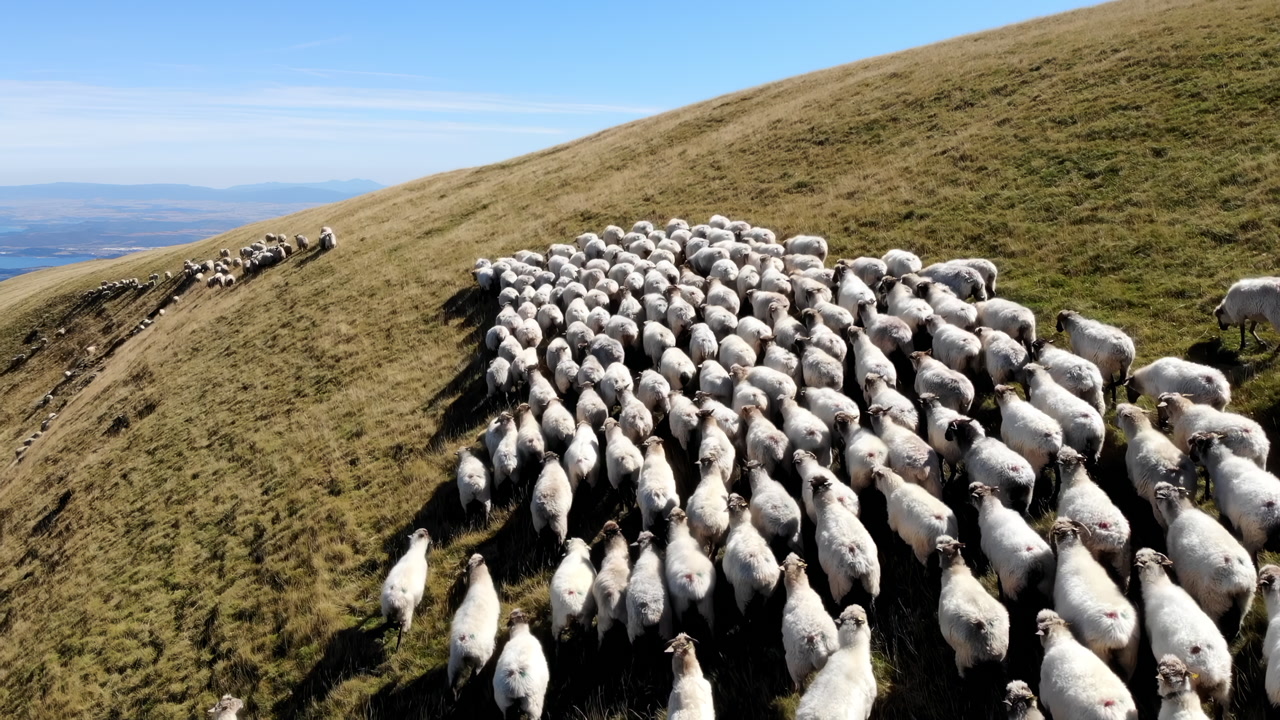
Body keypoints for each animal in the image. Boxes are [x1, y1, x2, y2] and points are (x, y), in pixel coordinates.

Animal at [448, 554, 501, 691]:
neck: (479, 581)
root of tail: (463, 647)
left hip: (455, 665)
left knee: (453, 686)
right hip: (480, 658)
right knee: (474, 676)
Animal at [935, 535, 1009, 677]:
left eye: (940, 548)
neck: (955, 570)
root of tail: (984, 628)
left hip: (963, 657)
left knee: (962, 671)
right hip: (1001, 653)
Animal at [1154, 482, 1256, 637]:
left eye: (1158, 493)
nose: (1157, 485)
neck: (1180, 512)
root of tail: (1238, 580)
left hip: (1214, 603)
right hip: (1245, 598)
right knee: (1240, 620)